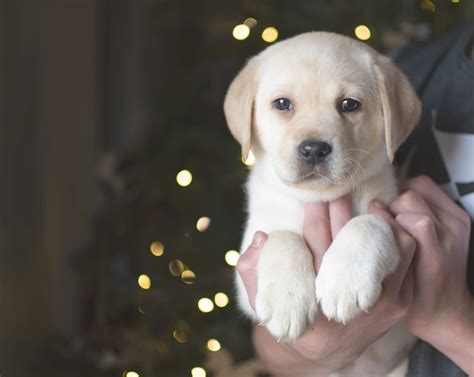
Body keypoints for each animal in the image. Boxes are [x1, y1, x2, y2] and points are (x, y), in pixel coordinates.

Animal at [224, 33, 420, 374]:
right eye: (283, 104)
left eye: (349, 105)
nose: (314, 149)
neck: (318, 198)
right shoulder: (245, 268)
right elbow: (282, 236)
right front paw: (287, 301)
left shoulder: (396, 217)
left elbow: (369, 221)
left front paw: (345, 282)